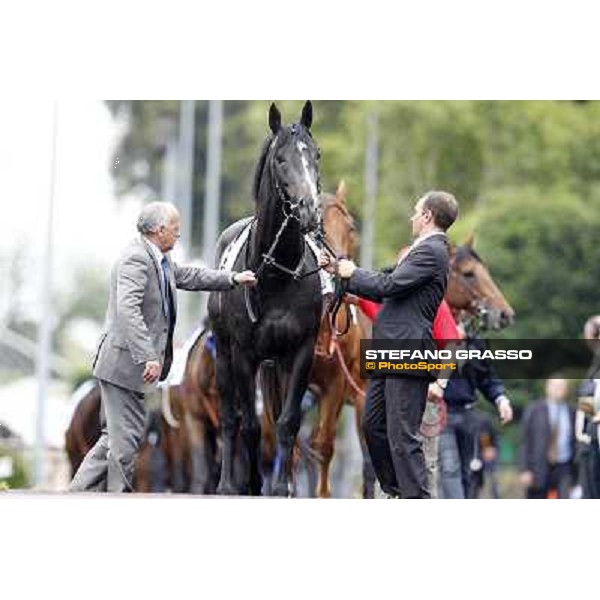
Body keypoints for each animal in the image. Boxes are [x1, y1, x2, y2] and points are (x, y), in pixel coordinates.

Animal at [210, 102, 326, 496]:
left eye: (316, 154)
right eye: (280, 159)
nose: (309, 210)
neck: (276, 273)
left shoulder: (301, 351)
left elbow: (287, 421)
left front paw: (280, 488)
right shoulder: (244, 355)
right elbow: (250, 425)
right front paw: (252, 485)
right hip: (224, 354)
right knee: (231, 418)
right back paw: (227, 485)